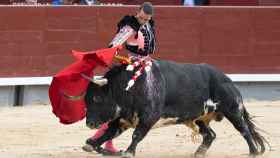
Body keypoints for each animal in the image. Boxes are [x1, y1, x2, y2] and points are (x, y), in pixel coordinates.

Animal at [85, 59, 266, 157]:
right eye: (86, 100)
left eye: (97, 98)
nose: (89, 123)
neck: (130, 86)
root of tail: (227, 79)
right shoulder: (121, 119)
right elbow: (107, 134)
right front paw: (92, 144)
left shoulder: (148, 118)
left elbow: (137, 135)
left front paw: (128, 152)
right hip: (200, 118)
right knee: (210, 135)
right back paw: (198, 154)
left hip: (233, 110)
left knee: (244, 130)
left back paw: (253, 152)